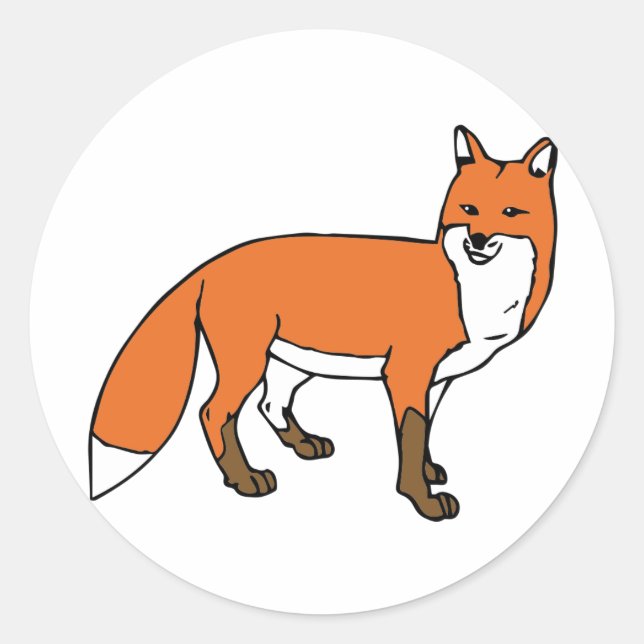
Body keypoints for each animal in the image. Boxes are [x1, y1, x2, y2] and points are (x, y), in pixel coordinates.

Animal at [89, 126, 557, 521]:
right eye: (469, 209)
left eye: (511, 212)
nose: (477, 239)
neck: (473, 293)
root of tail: (212, 262)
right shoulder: (406, 373)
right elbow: (410, 438)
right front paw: (420, 499)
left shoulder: (437, 380)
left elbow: (424, 435)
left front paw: (429, 471)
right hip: (248, 362)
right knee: (214, 412)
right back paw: (244, 479)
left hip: (292, 364)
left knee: (269, 404)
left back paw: (303, 444)